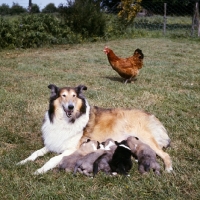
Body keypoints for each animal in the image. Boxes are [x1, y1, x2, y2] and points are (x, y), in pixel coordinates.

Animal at [17, 83, 172, 174]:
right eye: (63, 96)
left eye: (74, 96)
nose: (70, 107)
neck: (66, 120)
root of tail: (150, 115)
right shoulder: (53, 142)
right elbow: (35, 153)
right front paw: (22, 162)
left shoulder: (71, 148)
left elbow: (52, 159)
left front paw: (39, 170)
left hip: (147, 139)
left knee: (165, 155)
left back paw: (169, 169)